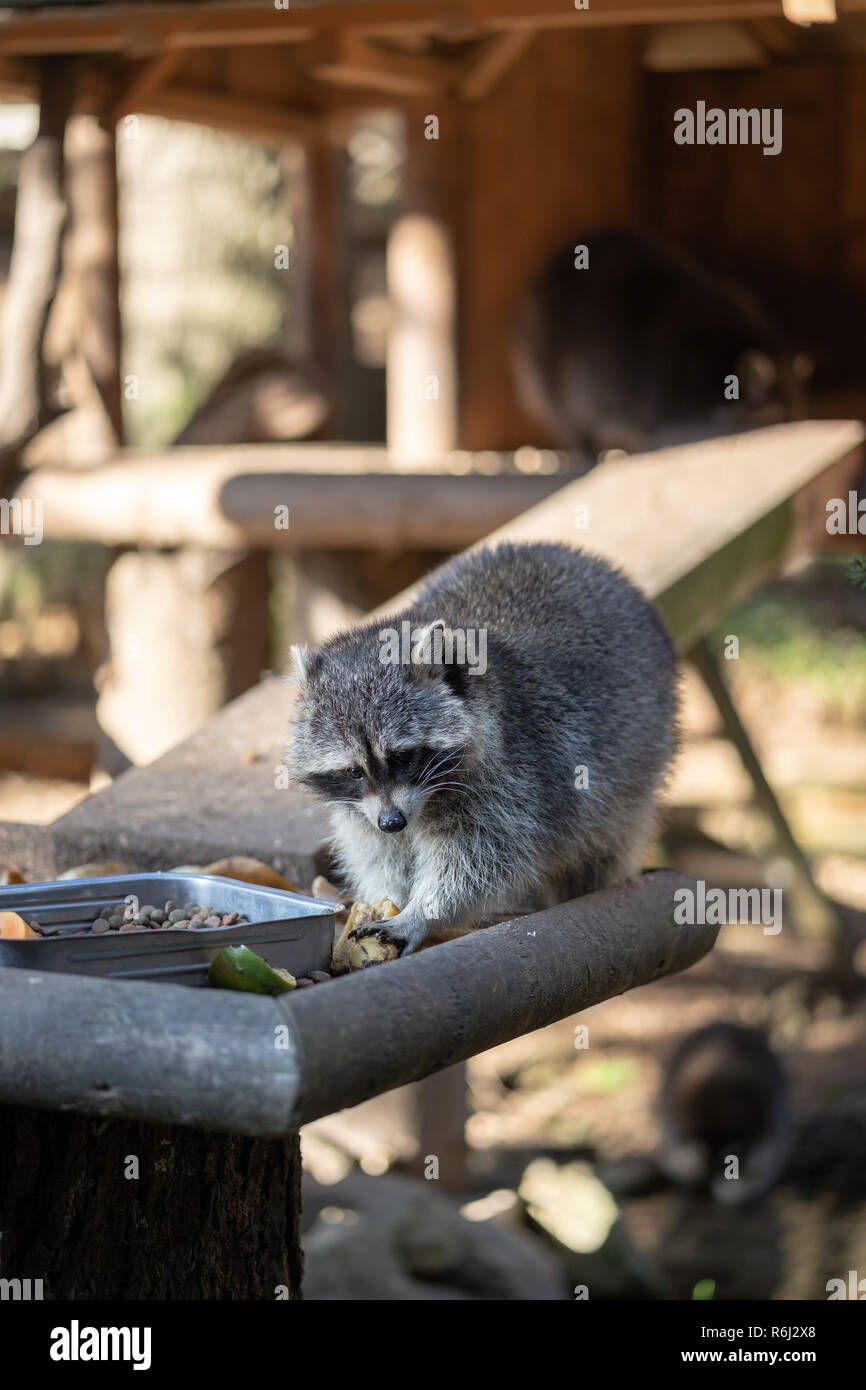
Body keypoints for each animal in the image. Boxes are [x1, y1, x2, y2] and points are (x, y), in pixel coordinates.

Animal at [287, 542, 681, 956]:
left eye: (403, 757)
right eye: (353, 771)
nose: (392, 822)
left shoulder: (519, 770)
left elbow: (483, 858)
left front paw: (423, 912)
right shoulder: (362, 809)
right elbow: (379, 852)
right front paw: (387, 895)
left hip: (639, 757)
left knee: (608, 836)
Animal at [514, 226, 806, 461]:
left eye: (798, 412)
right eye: (776, 417)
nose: (798, 435)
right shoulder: (673, 391)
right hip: (551, 367)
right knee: (567, 415)